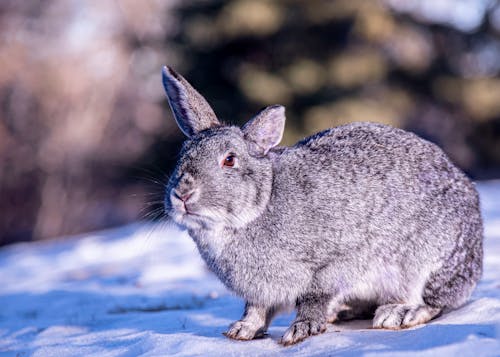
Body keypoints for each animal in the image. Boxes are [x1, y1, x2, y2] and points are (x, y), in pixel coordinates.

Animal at [162, 65, 482, 344]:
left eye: (229, 160)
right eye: (181, 155)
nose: (182, 194)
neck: (260, 205)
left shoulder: (333, 263)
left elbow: (314, 298)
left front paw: (300, 330)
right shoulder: (260, 292)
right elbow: (256, 309)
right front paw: (242, 330)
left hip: (426, 261)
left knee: (435, 301)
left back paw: (399, 313)